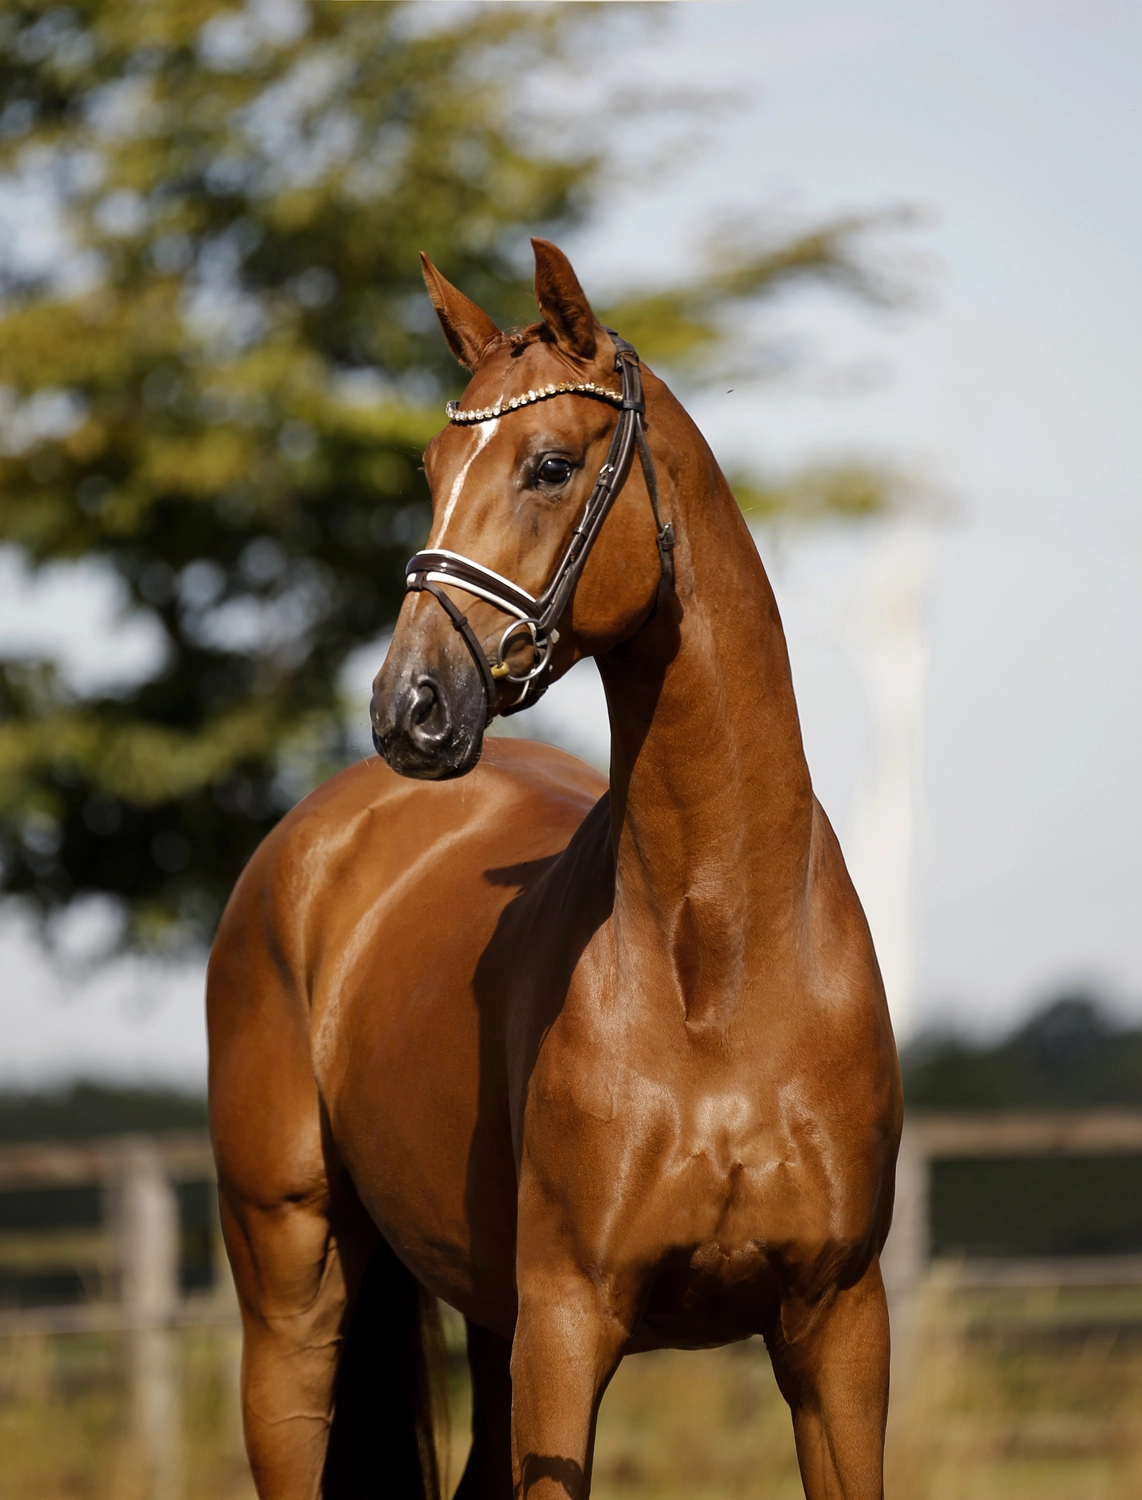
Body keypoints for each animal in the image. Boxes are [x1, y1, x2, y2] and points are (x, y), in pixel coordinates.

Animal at [207, 238, 902, 1500]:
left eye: (548, 465)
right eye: (430, 466)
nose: (409, 707)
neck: (721, 958)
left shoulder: (837, 1331)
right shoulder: (567, 1332)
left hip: (478, 1313)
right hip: (289, 1287)